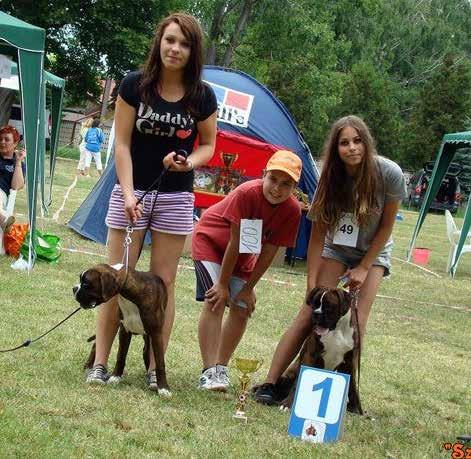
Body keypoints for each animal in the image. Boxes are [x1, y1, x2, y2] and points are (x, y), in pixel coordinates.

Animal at [73, 264, 171, 398]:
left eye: (86, 283)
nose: (74, 288)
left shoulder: (156, 334)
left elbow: (160, 363)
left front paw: (163, 388)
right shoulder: (124, 331)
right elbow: (121, 356)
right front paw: (115, 377)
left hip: (149, 337)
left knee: (146, 352)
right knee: (96, 344)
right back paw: (89, 365)